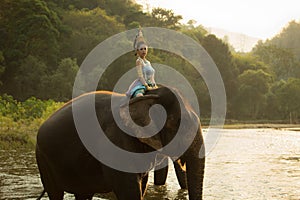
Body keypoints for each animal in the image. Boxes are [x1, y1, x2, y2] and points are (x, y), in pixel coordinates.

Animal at [35, 85, 204, 199]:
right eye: (179, 123)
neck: (147, 95)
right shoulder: (115, 142)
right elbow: (129, 191)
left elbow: (142, 185)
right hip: (44, 160)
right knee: (56, 193)